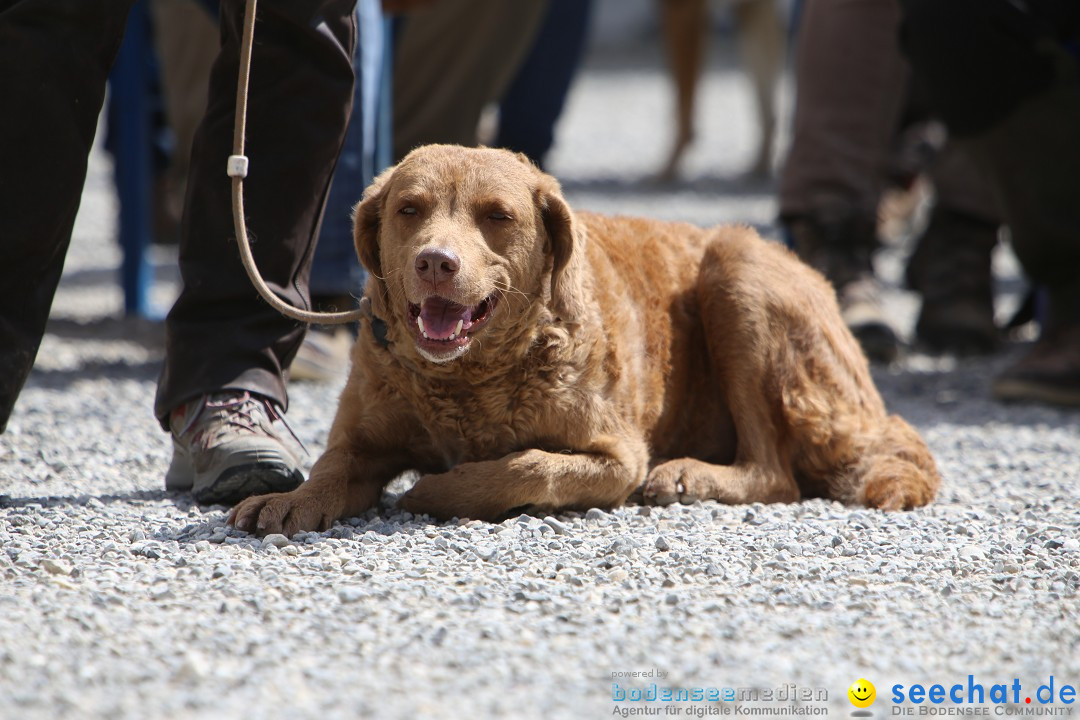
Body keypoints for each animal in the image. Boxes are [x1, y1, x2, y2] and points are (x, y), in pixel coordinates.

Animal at [230, 143, 937, 535]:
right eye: (409, 210)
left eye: (497, 216)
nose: (435, 261)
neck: (467, 381)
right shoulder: (363, 439)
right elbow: (331, 466)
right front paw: (289, 499)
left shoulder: (618, 455)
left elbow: (525, 467)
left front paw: (435, 491)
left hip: (738, 277)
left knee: (775, 472)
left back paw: (689, 475)